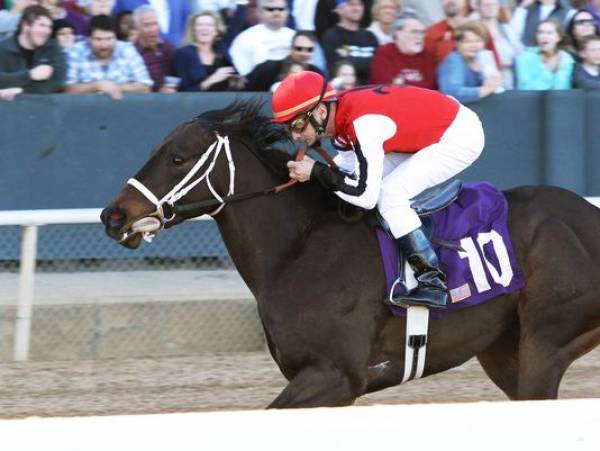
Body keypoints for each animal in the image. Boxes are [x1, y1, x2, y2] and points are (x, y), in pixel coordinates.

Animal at [101, 100, 600, 408]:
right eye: (157, 151)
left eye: (178, 158)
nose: (113, 216)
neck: (297, 250)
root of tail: (587, 217)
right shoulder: (326, 384)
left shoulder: (336, 374)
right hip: (503, 351)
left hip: (544, 344)